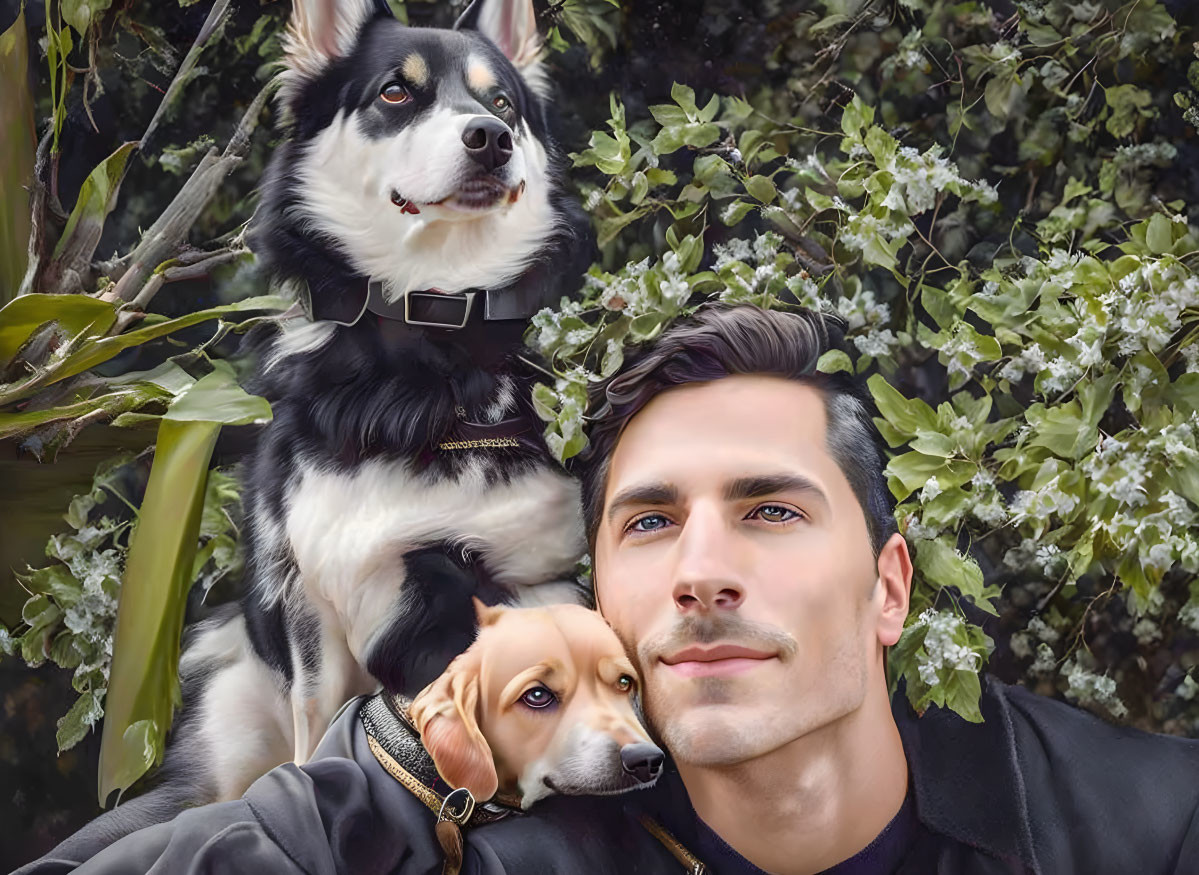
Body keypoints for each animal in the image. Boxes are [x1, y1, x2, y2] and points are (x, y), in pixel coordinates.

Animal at [171, 0, 592, 805]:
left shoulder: (532, 575)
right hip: (231, 707)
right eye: (396, 92)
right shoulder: (312, 614)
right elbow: (314, 745)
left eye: (502, 104)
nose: (489, 139)